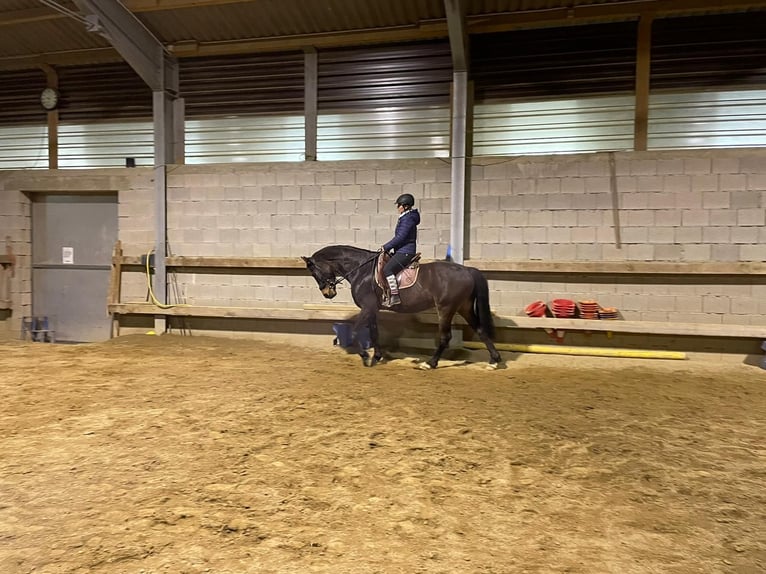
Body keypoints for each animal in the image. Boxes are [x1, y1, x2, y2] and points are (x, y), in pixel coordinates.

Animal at [300, 245, 504, 372]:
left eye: (314, 271)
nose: (327, 293)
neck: (361, 270)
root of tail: (467, 270)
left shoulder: (367, 307)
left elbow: (357, 330)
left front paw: (365, 356)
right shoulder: (372, 309)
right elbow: (374, 333)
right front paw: (377, 357)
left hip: (446, 309)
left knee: (446, 337)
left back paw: (430, 364)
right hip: (464, 307)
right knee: (481, 330)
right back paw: (494, 361)